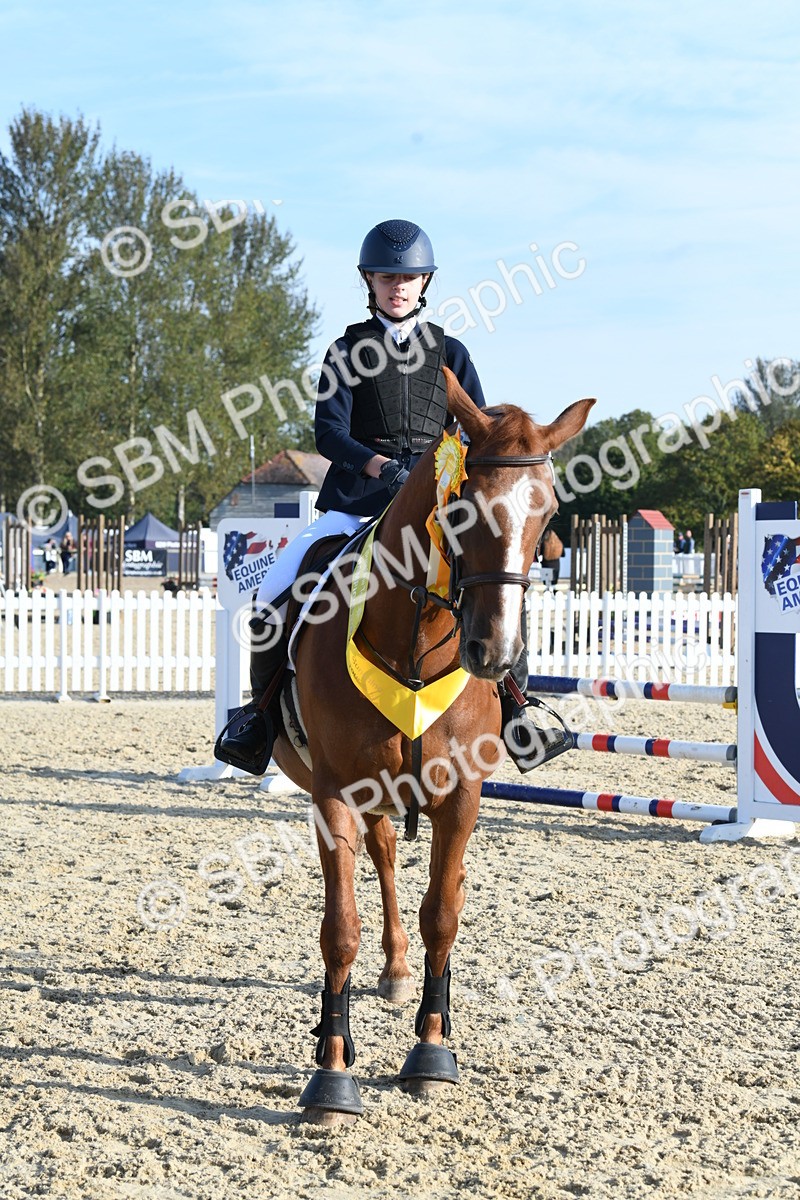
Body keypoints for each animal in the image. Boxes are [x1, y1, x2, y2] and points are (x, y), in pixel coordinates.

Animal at [270, 367, 594, 1123]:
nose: (492, 652)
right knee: (384, 861)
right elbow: (340, 927)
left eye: (547, 513)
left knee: (402, 863)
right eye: (465, 508)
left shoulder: (462, 796)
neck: (414, 641)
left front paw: (432, 1050)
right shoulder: (334, 792)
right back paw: (385, 975)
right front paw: (332, 1071)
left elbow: (443, 915)